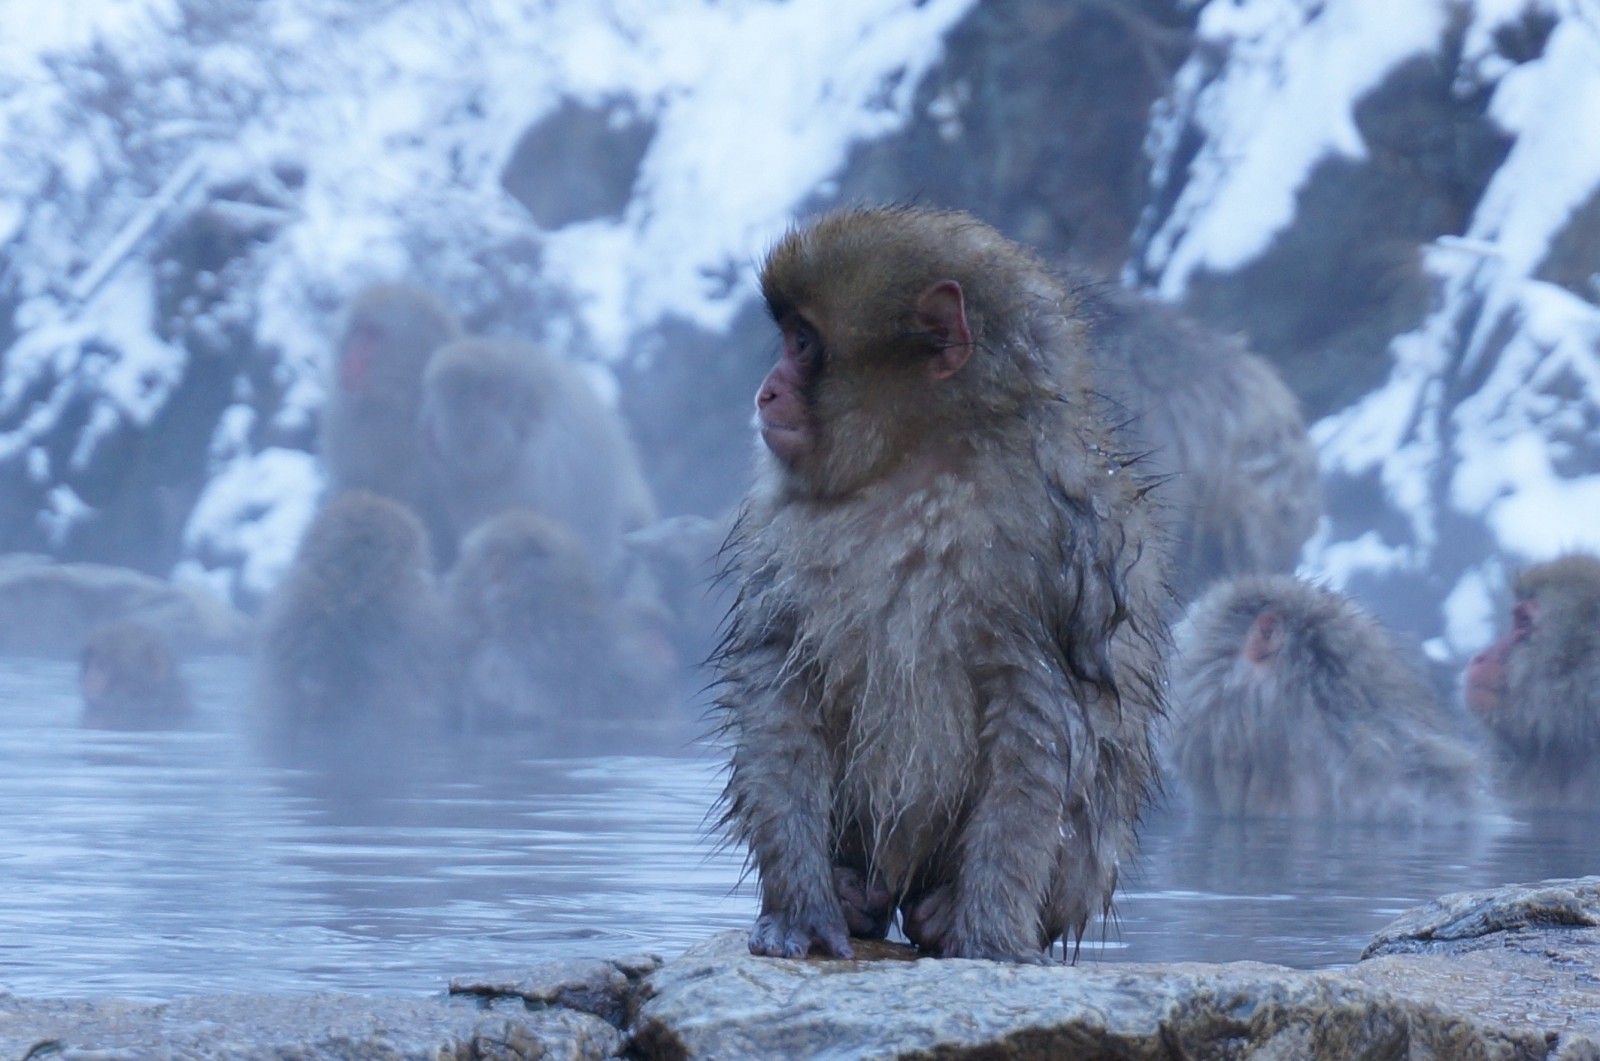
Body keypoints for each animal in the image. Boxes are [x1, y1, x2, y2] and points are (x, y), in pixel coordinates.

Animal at [720, 204, 1171, 960]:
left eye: (803, 342)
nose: (764, 391)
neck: (912, 462)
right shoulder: (779, 530)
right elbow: (779, 682)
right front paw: (801, 905)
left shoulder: (1048, 548)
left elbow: (1038, 718)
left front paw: (987, 932)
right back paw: (853, 894)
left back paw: (939, 915)